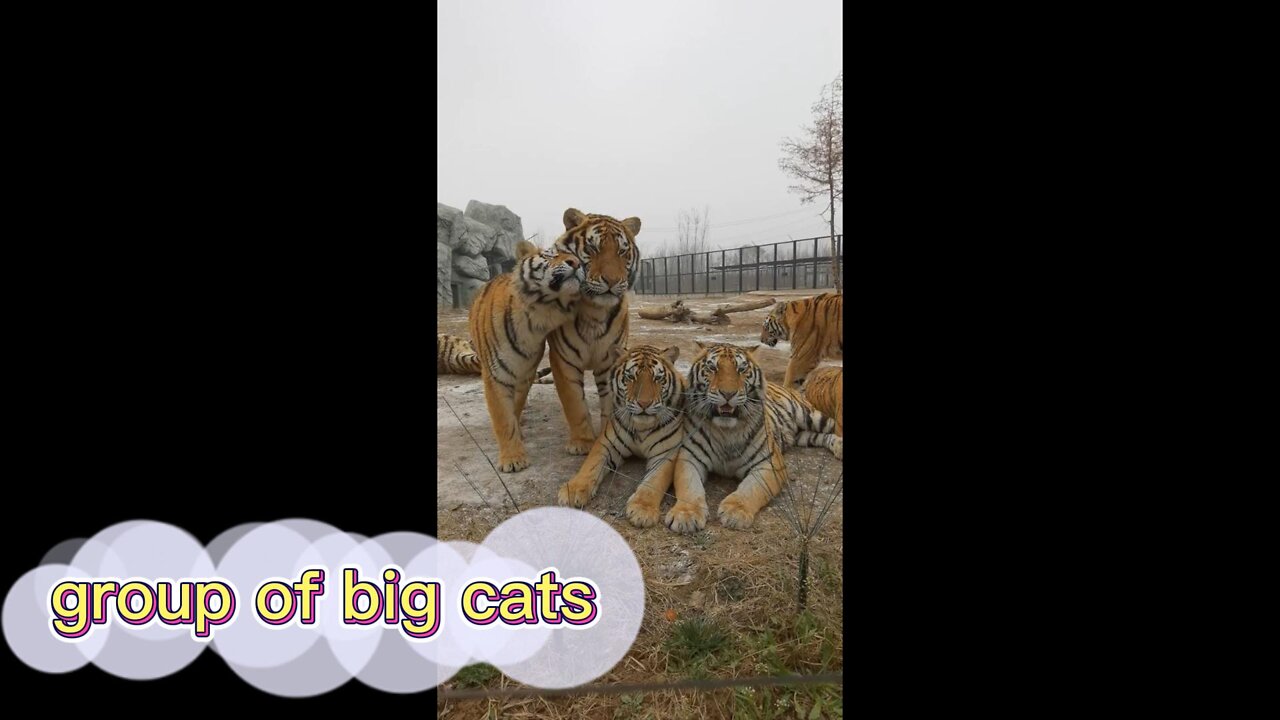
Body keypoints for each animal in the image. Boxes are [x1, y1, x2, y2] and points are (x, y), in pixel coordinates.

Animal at [468, 237, 586, 471]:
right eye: (550, 255)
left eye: (575, 256)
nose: (577, 263)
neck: (540, 314)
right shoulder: (495, 375)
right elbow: (503, 417)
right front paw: (512, 459)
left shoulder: (525, 373)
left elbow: (516, 405)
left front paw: (517, 435)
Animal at [545, 207, 640, 453]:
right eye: (591, 249)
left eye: (622, 252)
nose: (612, 281)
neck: (593, 311)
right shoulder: (563, 359)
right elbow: (574, 402)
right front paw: (581, 442)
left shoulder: (610, 359)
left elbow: (610, 399)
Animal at [665, 338, 844, 530]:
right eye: (712, 368)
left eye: (741, 369)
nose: (728, 394)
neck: (726, 431)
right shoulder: (688, 458)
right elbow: (688, 487)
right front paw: (686, 515)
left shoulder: (769, 463)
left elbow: (752, 488)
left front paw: (735, 512)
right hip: (802, 436)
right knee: (819, 437)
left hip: (810, 415)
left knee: (831, 427)